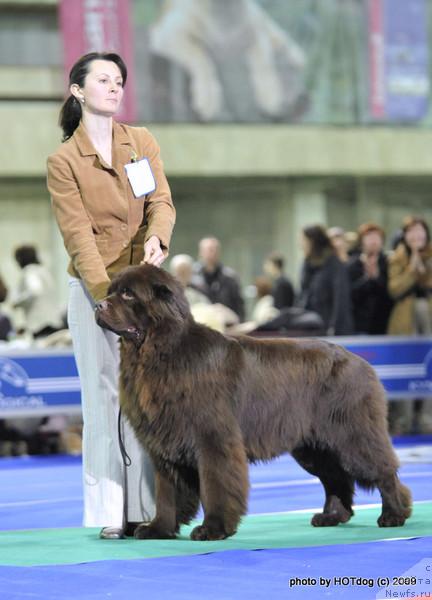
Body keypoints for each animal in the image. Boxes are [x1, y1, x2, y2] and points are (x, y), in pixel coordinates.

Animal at [95, 264, 412, 540]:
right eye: (111, 291)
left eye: (128, 294)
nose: (98, 305)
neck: (161, 353)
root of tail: (362, 362)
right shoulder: (166, 442)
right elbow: (166, 492)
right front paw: (158, 529)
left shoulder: (213, 439)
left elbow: (215, 485)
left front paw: (213, 529)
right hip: (314, 446)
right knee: (335, 478)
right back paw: (332, 516)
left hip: (352, 434)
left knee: (384, 470)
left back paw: (394, 514)